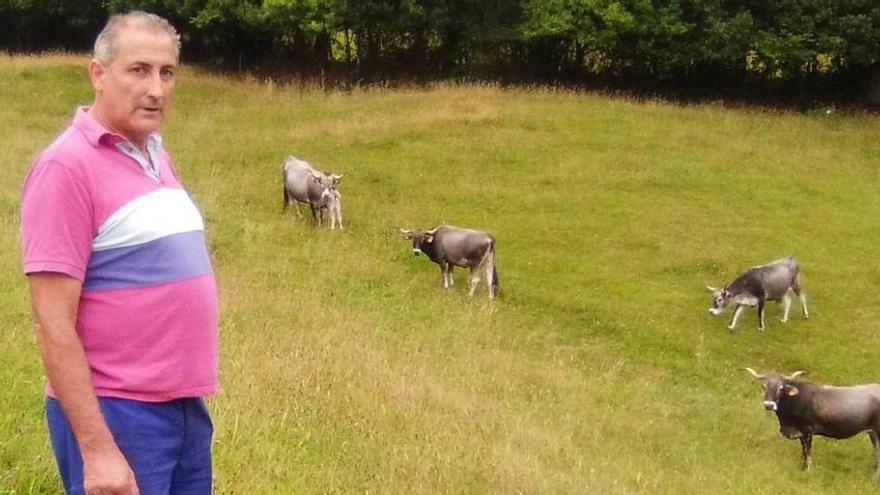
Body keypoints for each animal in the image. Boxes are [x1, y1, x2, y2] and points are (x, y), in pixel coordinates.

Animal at [744, 368, 880, 480]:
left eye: (780, 388)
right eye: (764, 386)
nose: (768, 405)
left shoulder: (807, 430)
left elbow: (807, 452)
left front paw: (807, 470)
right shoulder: (800, 432)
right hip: (873, 433)